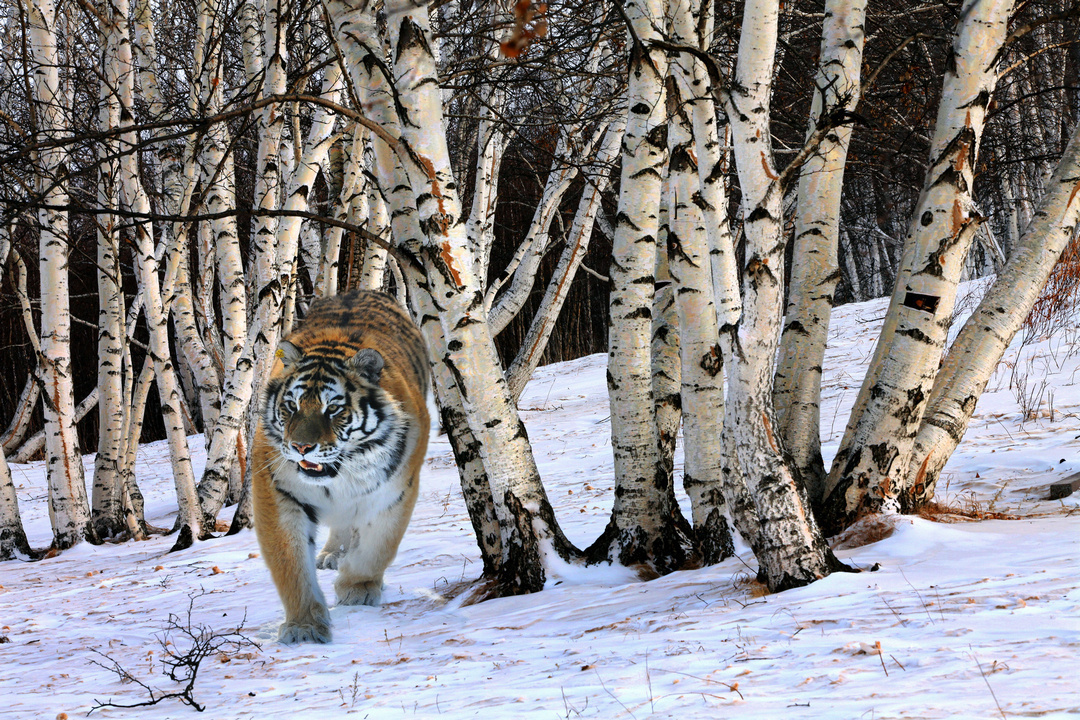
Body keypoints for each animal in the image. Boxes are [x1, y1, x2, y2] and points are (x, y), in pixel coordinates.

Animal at [252, 289, 429, 643]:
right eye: (291, 406)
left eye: (332, 409)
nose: (301, 447)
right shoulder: (277, 492)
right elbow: (290, 562)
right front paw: (304, 627)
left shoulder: (396, 490)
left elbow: (378, 547)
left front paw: (356, 590)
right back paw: (331, 554)